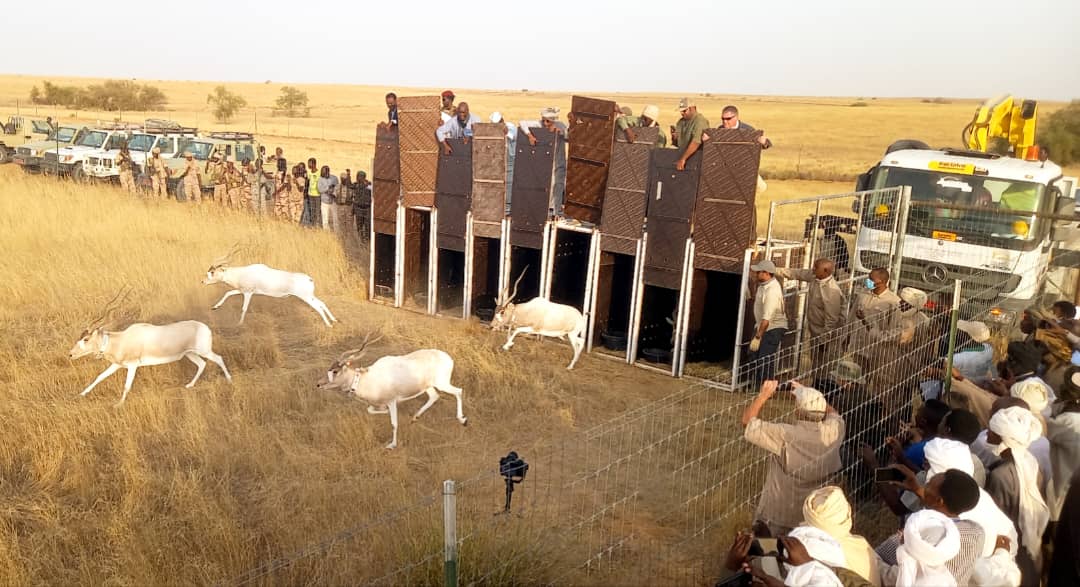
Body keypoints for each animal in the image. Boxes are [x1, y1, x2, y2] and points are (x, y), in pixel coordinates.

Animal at [67, 287, 232, 403]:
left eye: (86, 339)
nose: (70, 354)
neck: (120, 340)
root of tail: (204, 327)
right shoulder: (117, 365)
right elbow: (99, 377)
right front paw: (80, 394)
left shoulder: (132, 366)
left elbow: (127, 386)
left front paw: (118, 404)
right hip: (189, 354)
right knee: (202, 364)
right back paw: (189, 385)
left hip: (204, 351)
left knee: (218, 358)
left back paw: (229, 379)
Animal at [201, 243, 336, 325]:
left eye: (212, 272)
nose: (203, 281)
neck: (241, 273)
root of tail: (309, 279)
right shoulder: (242, 290)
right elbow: (228, 293)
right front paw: (215, 307)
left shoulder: (248, 293)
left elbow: (244, 308)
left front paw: (239, 323)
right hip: (310, 296)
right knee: (322, 303)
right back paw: (333, 320)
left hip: (305, 297)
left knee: (318, 306)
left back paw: (328, 324)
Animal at [315, 332, 462, 451]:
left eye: (335, 371)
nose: (319, 384)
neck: (367, 379)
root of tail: (448, 358)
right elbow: (370, 410)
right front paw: (384, 411)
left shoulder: (392, 401)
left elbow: (394, 423)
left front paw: (392, 445)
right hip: (428, 386)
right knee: (434, 396)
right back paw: (415, 418)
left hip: (442, 383)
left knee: (458, 391)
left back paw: (462, 420)